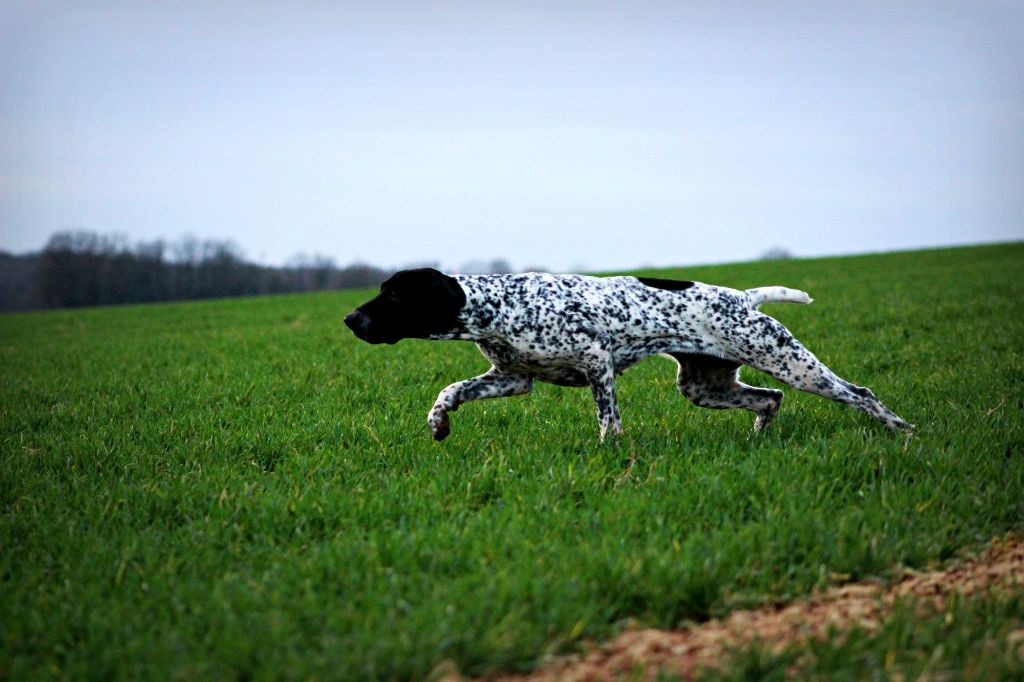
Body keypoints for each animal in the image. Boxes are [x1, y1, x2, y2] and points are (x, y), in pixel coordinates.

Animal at [344, 268, 913, 444]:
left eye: (392, 296)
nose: (349, 319)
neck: (499, 305)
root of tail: (744, 297)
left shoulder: (597, 361)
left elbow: (608, 421)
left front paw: (608, 454)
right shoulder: (511, 378)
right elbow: (451, 390)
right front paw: (439, 422)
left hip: (791, 364)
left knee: (860, 393)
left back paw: (901, 432)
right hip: (704, 387)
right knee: (768, 400)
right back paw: (757, 441)